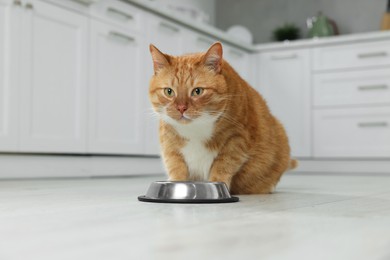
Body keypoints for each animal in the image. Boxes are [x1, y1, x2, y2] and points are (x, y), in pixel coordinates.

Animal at [148, 41, 298, 194]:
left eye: (197, 91)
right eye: (169, 91)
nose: (181, 108)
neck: (194, 129)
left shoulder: (236, 141)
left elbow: (222, 167)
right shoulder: (169, 145)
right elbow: (177, 168)